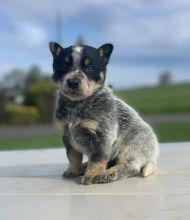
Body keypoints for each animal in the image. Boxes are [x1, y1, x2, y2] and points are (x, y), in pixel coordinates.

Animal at [48, 41, 159, 184]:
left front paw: (91, 176)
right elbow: (72, 157)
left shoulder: (102, 136)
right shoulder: (67, 135)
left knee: (131, 166)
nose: (73, 82)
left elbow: (97, 159)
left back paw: (108, 174)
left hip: (133, 146)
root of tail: (152, 157)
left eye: (90, 67)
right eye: (63, 65)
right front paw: (73, 171)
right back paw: (85, 167)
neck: (76, 105)